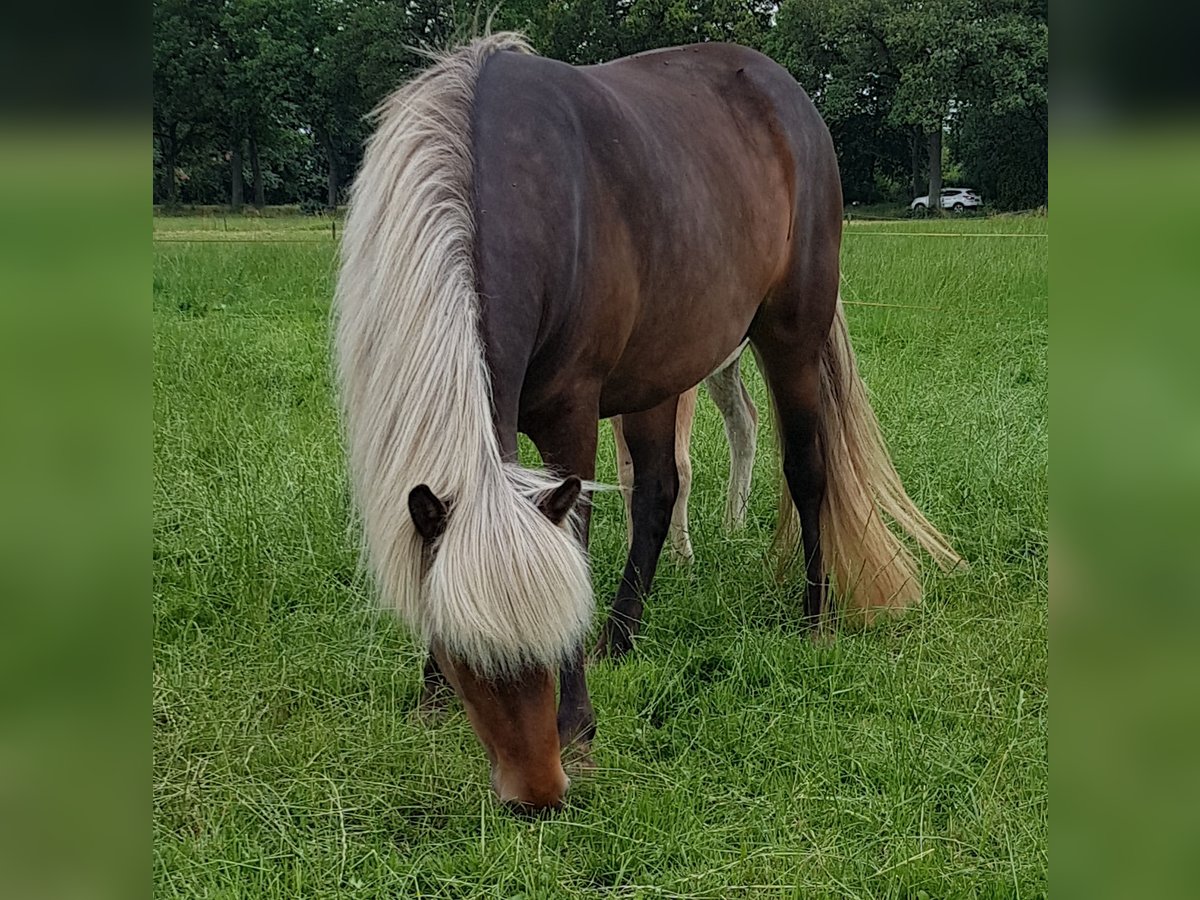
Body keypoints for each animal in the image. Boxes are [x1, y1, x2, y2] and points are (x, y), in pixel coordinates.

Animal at [333, 33, 960, 811]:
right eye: (466, 652)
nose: (539, 795)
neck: (495, 178)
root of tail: (787, 94)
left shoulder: (571, 416)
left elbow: (575, 537)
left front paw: (577, 723)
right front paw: (433, 697)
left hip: (790, 337)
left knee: (805, 470)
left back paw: (814, 619)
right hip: (660, 375)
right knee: (659, 491)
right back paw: (623, 637)